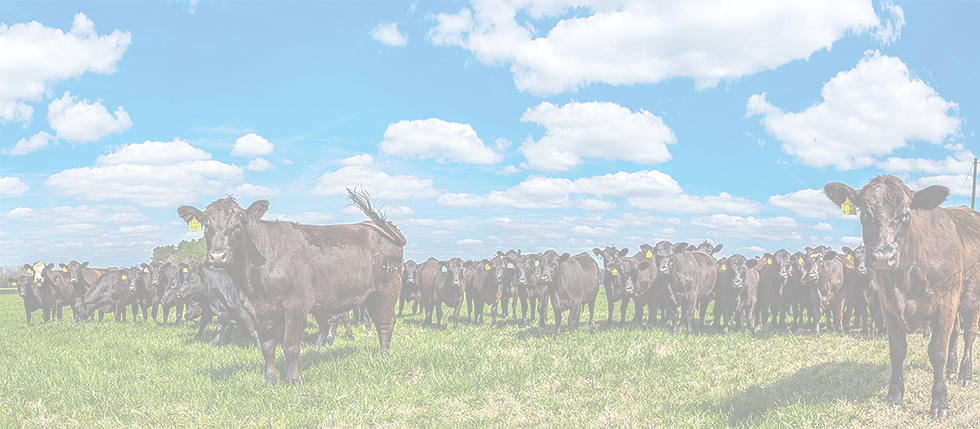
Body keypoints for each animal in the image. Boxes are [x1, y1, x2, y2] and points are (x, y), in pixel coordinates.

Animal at [177, 188, 406, 385]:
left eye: (237, 225)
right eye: (206, 226)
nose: (218, 255)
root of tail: (380, 226)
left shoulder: (296, 304)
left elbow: (290, 346)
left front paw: (293, 380)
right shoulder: (256, 309)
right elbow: (267, 347)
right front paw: (270, 380)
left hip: (388, 287)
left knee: (386, 323)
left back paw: (385, 358)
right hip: (371, 294)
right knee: (378, 322)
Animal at [825, 175, 980, 419]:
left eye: (906, 213)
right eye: (864, 212)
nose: (883, 256)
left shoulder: (946, 303)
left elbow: (938, 351)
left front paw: (940, 402)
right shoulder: (887, 305)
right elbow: (897, 351)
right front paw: (895, 396)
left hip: (972, 301)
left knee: (969, 335)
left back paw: (965, 373)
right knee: (955, 334)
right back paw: (952, 370)